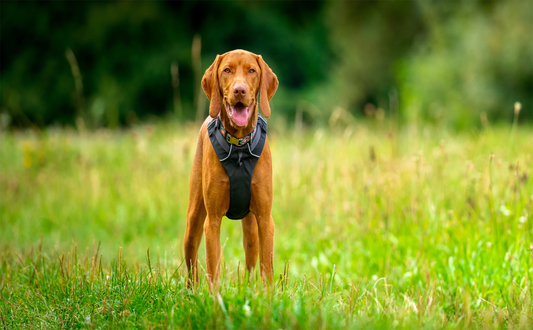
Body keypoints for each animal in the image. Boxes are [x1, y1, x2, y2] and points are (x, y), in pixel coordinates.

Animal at [184, 49, 278, 288]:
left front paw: (268, 295)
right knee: (190, 261)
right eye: (227, 70)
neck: (239, 148)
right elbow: (213, 268)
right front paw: (215, 297)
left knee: (251, 261)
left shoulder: (265, 220)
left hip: (251, 228)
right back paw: (190, 292)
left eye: (252, 70)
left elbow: (267, 269)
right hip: (193, 220)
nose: (239, 90)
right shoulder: (212, 221)